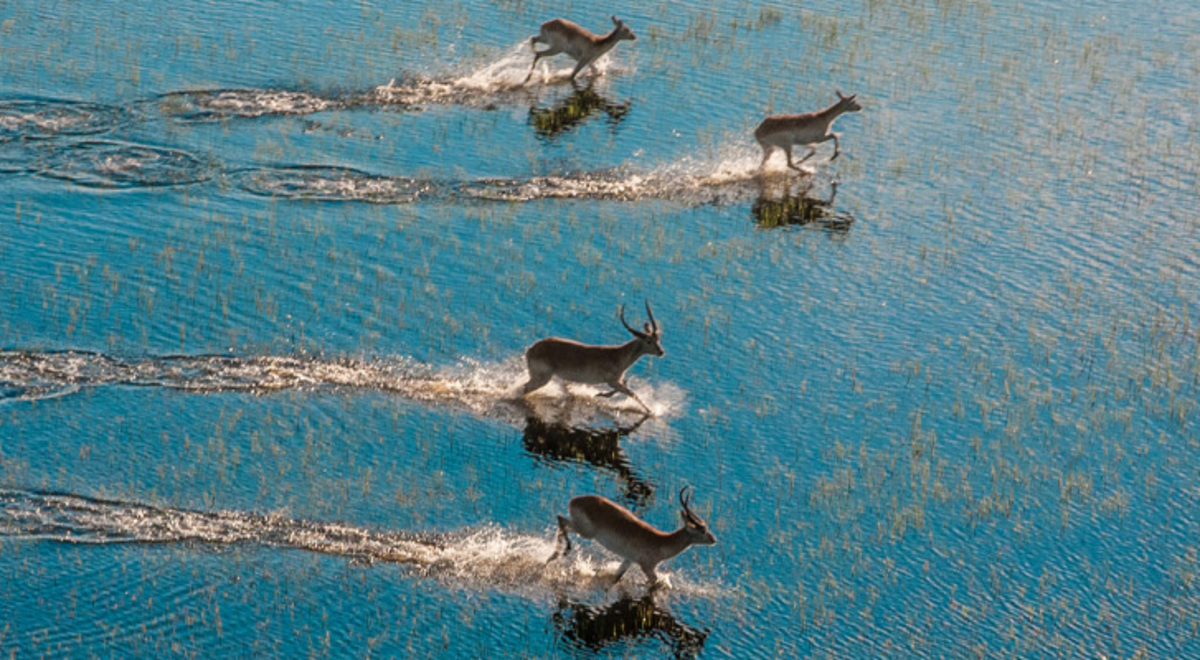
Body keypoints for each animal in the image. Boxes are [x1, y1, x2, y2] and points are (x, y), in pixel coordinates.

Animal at [518, 301, 662, 412]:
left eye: (658, 338)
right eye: (648, 341)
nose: (661, 352)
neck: (618, 356)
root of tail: (531, 349)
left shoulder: (617, 381)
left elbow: (626, 387)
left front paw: (600, 394)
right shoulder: (611, 381)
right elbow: (631, 393)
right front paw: (651, 411)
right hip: (543, 378)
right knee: (524, 389)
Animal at [549, 484, 715, 588]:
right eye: (702, 530)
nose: (714, 539)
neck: (661, 542)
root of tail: (574, 500)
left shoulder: (629, 559)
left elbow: (617, 577)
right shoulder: (646, 567)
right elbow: (655, 583)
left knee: (560, 521)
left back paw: (553, 556)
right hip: (585, 532)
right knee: (560, 519)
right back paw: (563, 551)